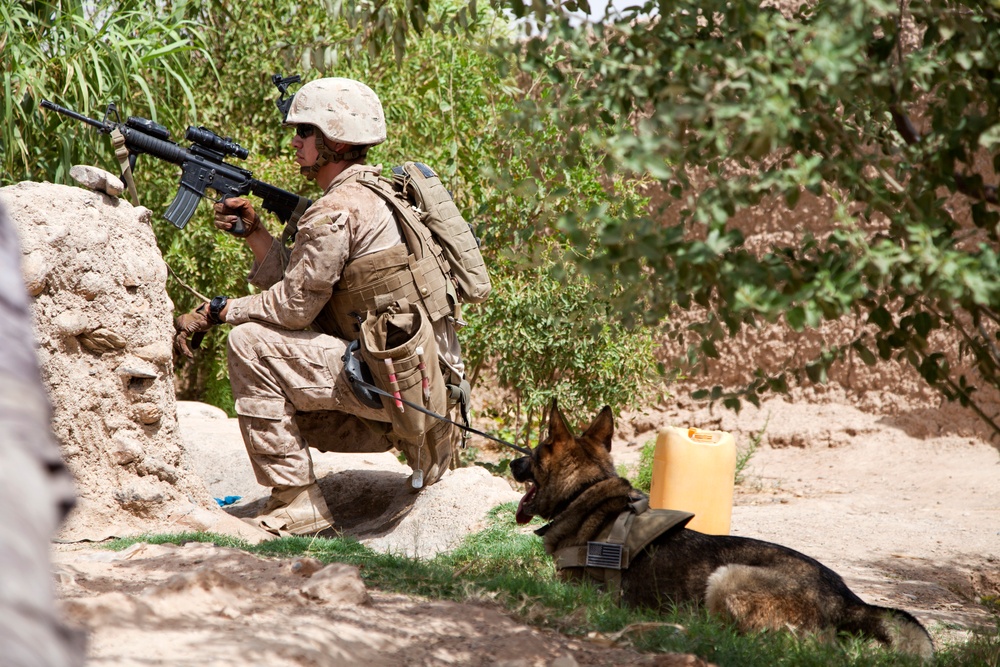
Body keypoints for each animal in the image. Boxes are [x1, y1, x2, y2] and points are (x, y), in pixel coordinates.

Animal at [512, 402, 932, 656]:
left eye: (532, 452)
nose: (513, 462)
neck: (585, 491)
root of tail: (846, 598)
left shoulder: (571, 588)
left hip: (727, 577)